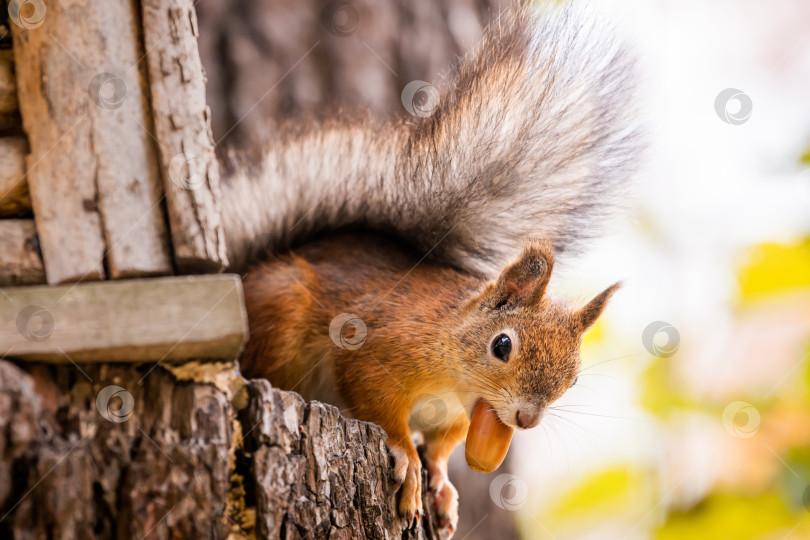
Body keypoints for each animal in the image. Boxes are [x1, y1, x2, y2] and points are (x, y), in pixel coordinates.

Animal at [219, 1, 636, 536]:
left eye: (574, 377)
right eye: (502, 345)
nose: (526, 420)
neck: (455, 378)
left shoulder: (455, 416)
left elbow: (442, 446)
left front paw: (441, 480)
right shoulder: (377, 347)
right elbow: (379, 407)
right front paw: (409, 461)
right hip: (282, 308)